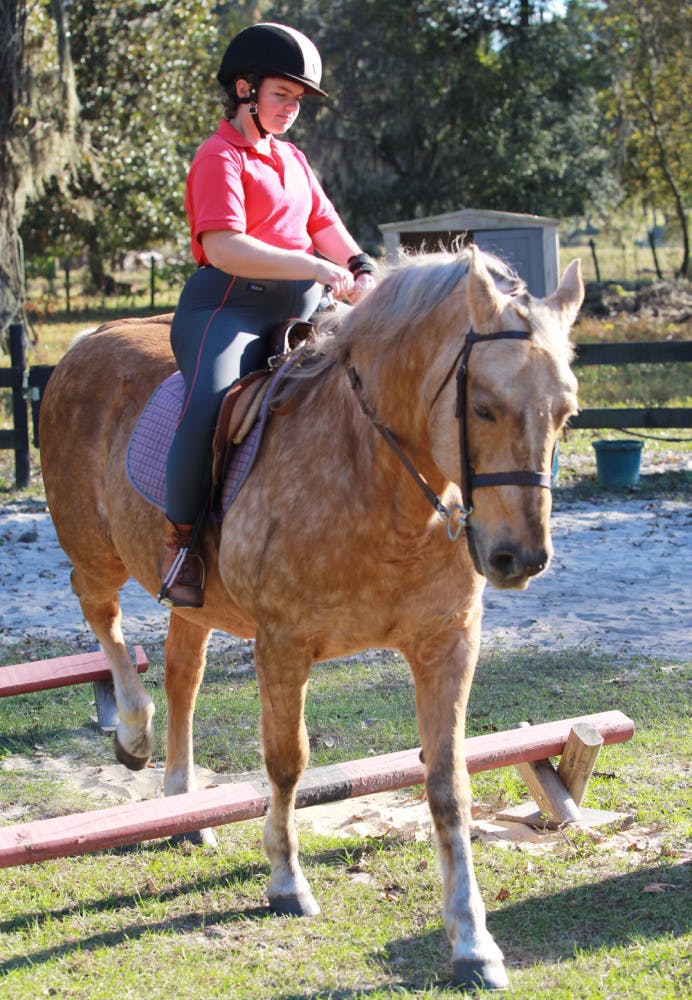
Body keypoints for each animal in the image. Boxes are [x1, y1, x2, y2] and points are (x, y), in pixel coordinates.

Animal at [39, 246, 583, 991]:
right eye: (483, 407)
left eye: (565, 412)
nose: (518, 558)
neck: (375, 477)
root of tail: (86, 342)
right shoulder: (283, 646)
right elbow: (287, 762)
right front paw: (286, 881)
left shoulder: (447, 643)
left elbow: (449, 785)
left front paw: (474, 943)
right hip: (97, 552)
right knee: (99, 610)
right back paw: (132, 731)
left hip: (194, 599)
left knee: (182, 673)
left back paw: (182, 802)